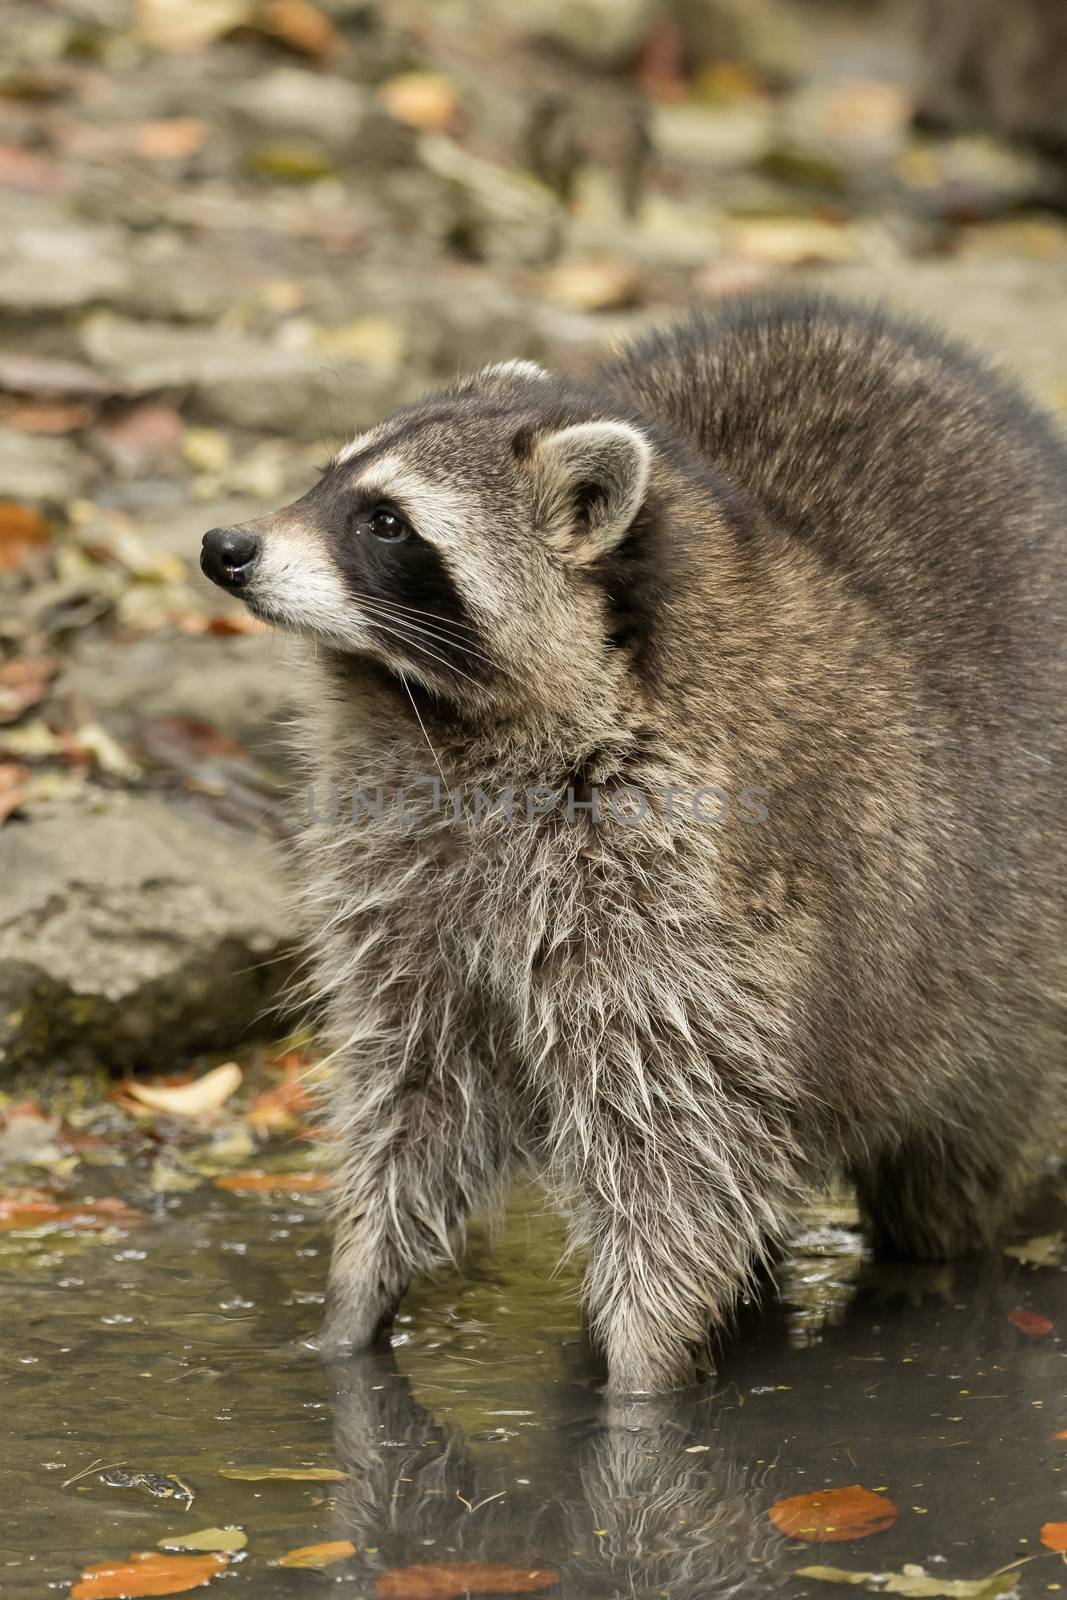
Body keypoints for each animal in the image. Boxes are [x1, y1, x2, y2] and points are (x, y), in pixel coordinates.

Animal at [199, 294, 1067, 1395]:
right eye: (323, 477)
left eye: (385, 521)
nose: (222, 547)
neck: (443, 716)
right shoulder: (409, 869)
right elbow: (415, 1084)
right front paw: (355, 1304)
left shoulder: (690, 892)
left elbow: (675, 1143)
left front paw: (639, 1385)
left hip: (1007, 985)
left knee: (947, 1157)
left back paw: (927, 1264)